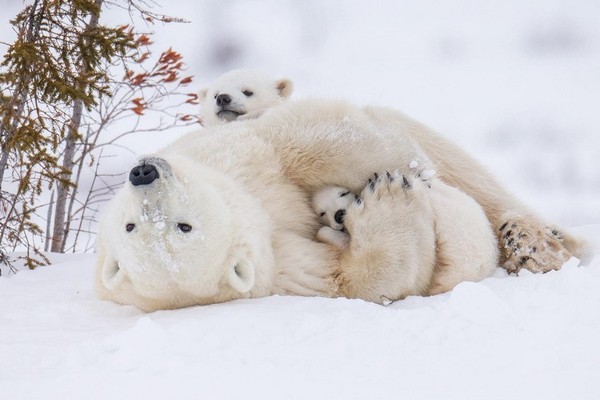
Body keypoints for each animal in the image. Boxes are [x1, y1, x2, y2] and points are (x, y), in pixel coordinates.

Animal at [96, 97, 588, 310]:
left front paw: (407, 167)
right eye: (136, 227)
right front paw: (388, 195)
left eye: (181, 225)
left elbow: (298, 142)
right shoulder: (285, 272)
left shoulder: (234, 156)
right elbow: (356, 280)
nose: (143, 173)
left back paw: (537, 242)